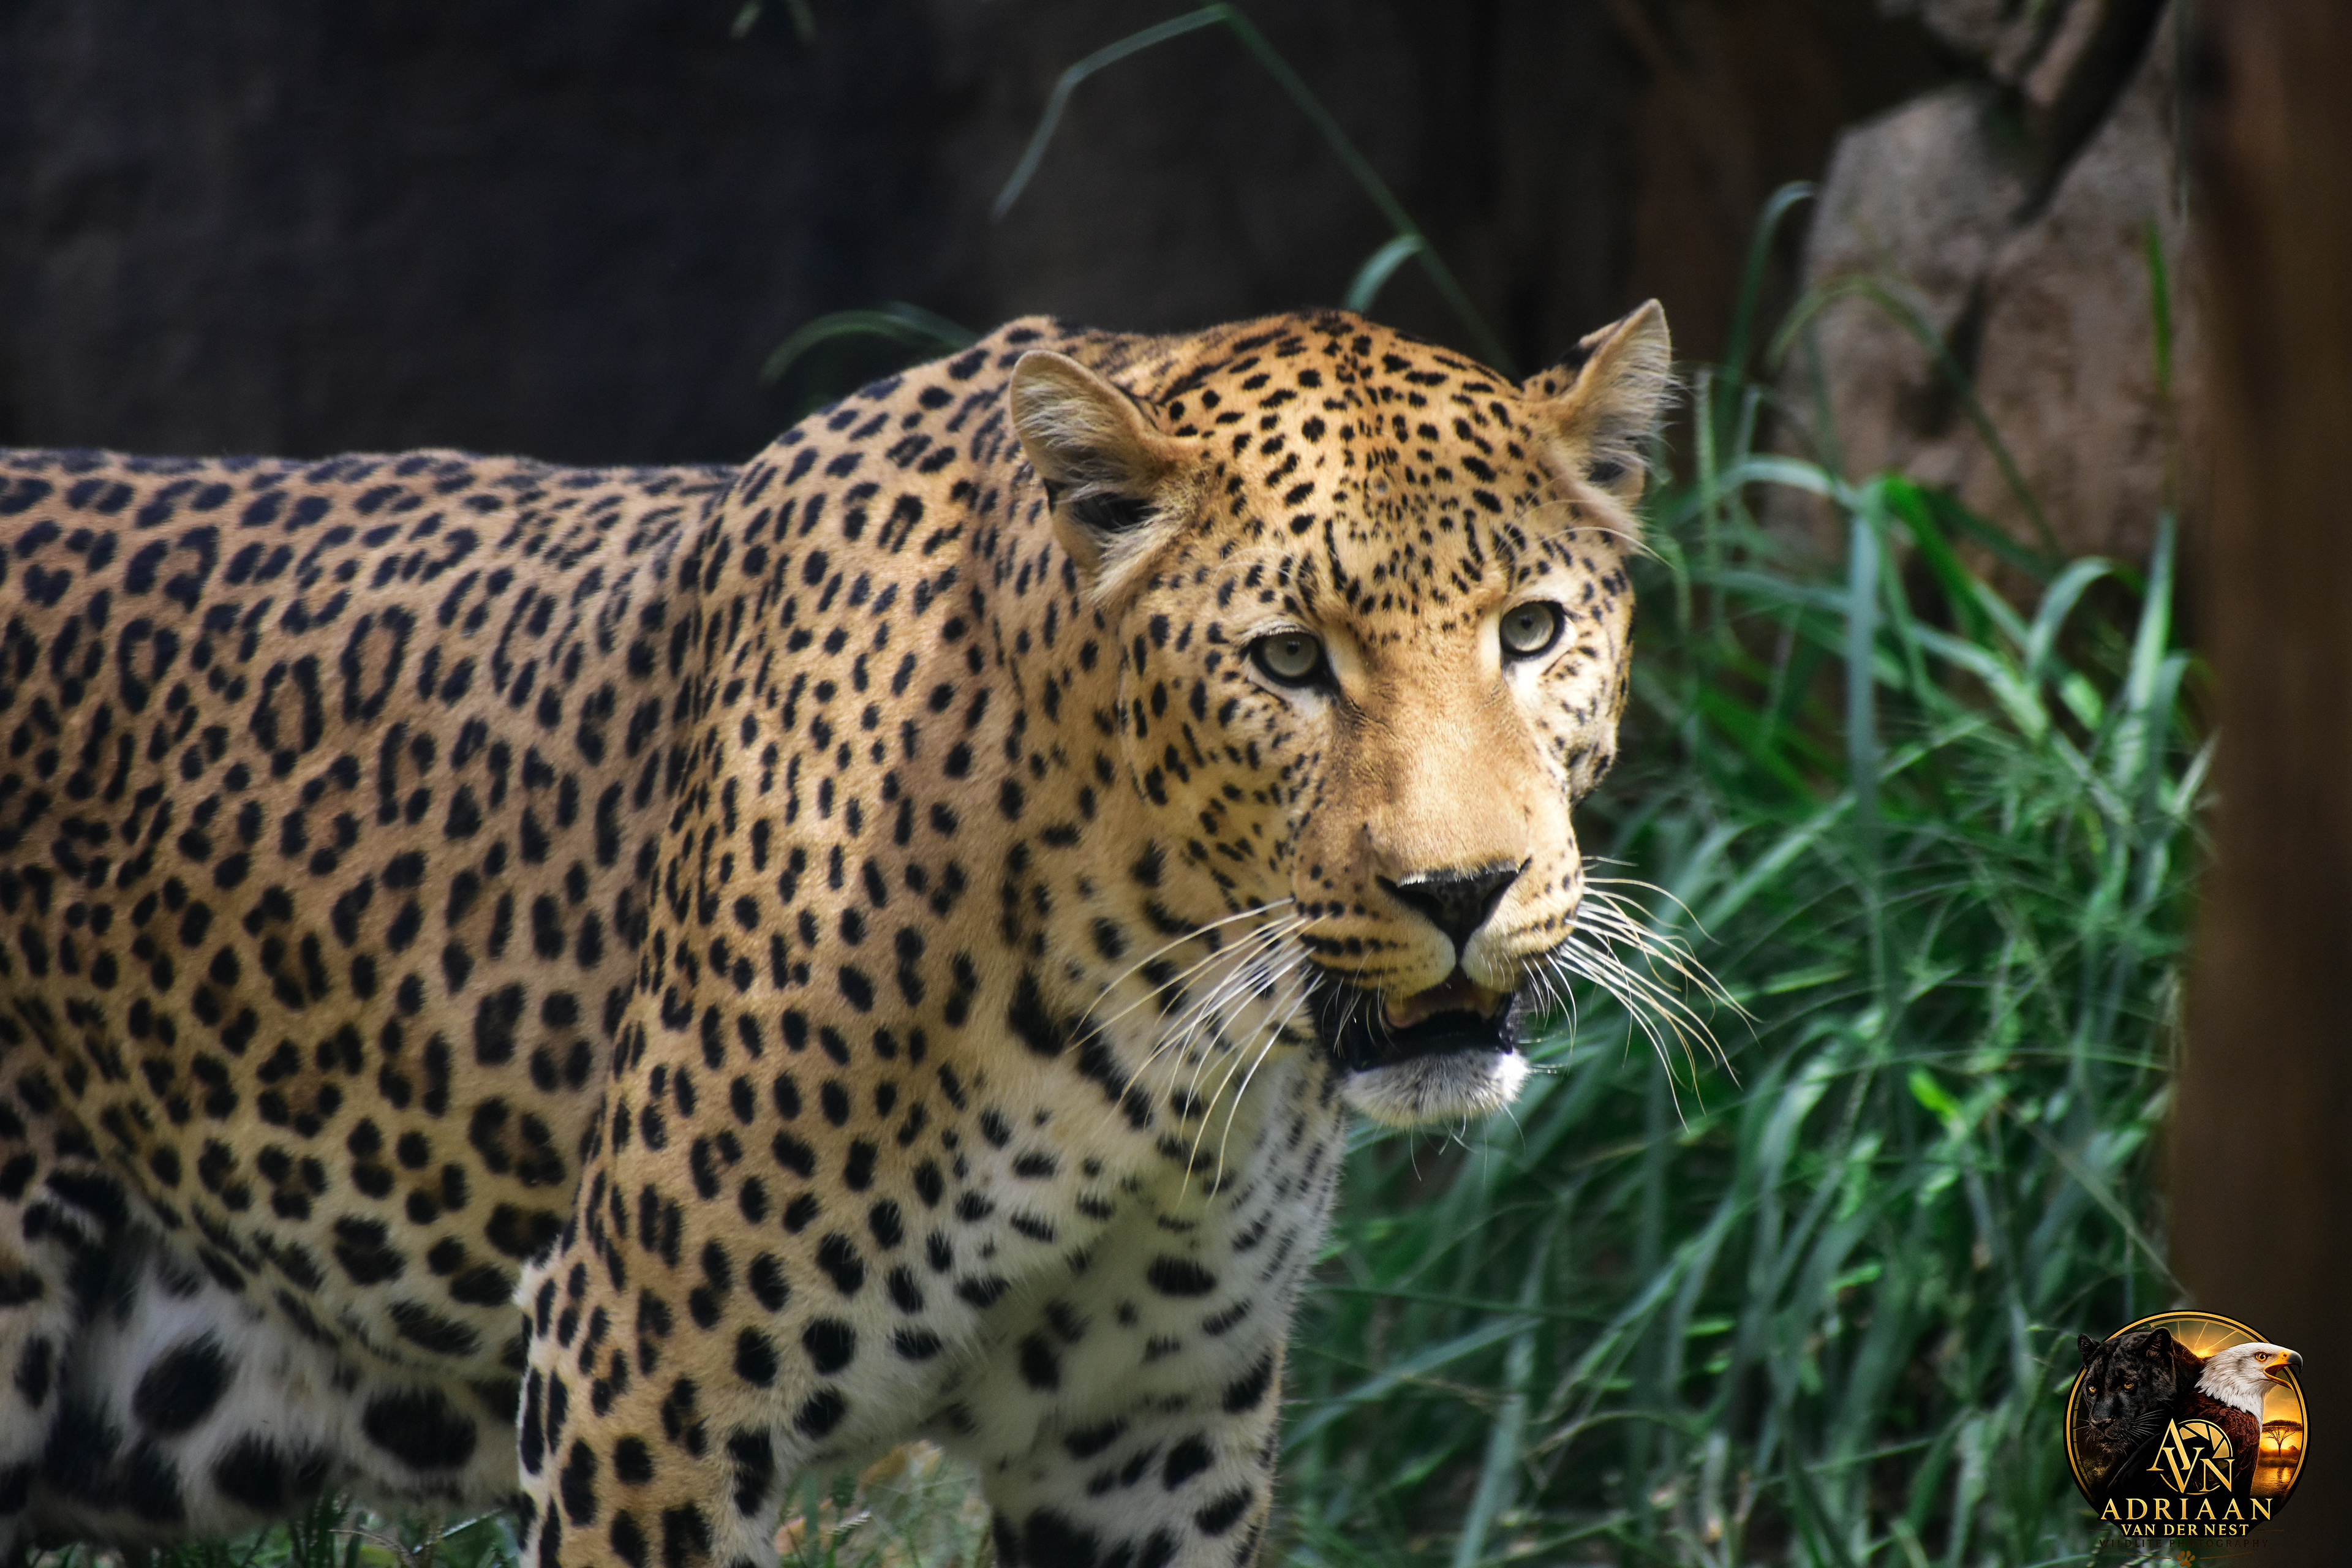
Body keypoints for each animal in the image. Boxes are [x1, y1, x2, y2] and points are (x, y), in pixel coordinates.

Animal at [0, 300, 1671, 1568]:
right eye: (1287, 661)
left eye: (1531, 630)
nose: (1459, 889)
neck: (1154, 1016)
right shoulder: (638, 1375)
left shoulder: (1150, 1429)